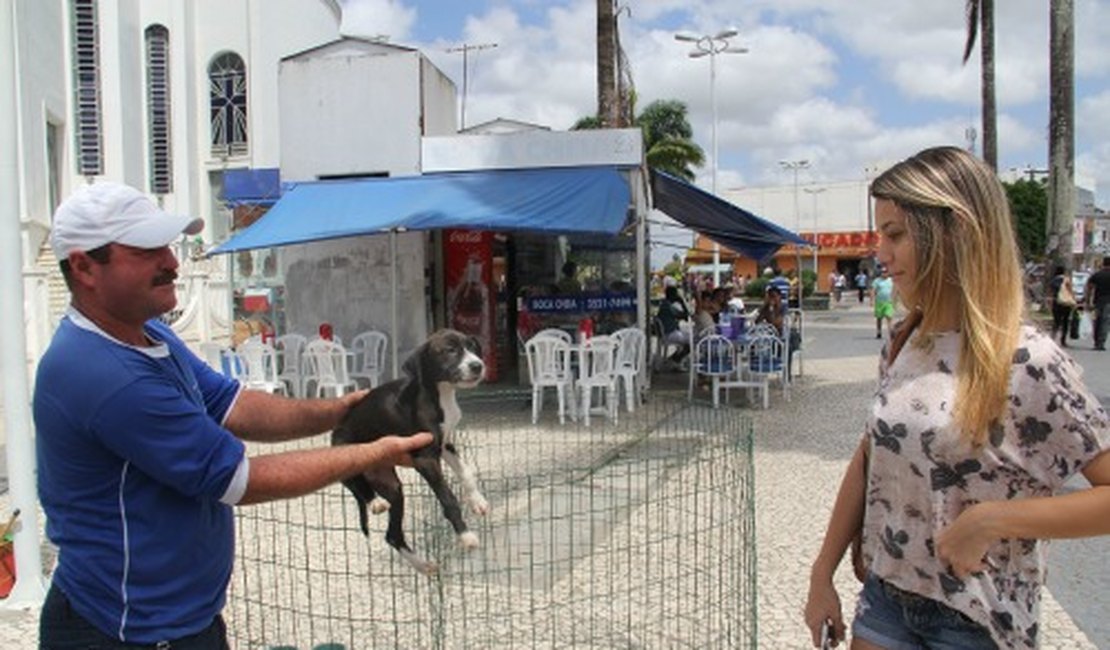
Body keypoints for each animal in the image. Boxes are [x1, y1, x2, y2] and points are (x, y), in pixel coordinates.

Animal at [328, 328, 486, 572]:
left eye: (471, 346)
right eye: (450, 350)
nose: (478, 365)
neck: (440, 394)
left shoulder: (445, 444)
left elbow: (466, 472)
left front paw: (477, 501)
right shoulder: (425, 459)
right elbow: (448, 498)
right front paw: (466, 536)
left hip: (392, 487)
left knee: (392, 535)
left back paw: (422, 565)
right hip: (347, 455)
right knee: (356, 485)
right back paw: (375, 502)